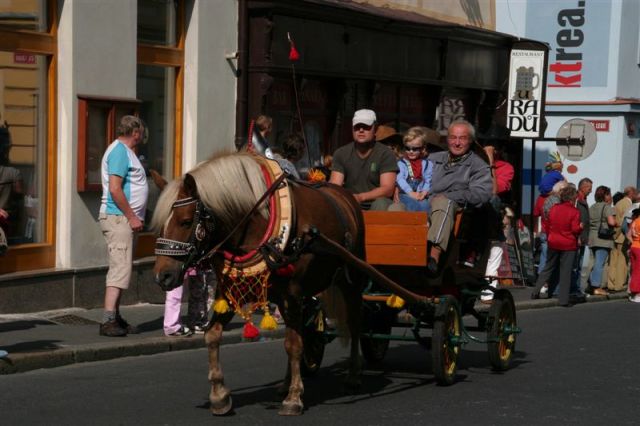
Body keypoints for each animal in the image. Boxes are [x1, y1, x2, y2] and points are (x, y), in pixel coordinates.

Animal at [151, 152, 368, 416]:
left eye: (185, 221)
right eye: (161, 224)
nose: (162, 276)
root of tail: (345, 195)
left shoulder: (292, 294)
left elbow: (294, 345)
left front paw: (294, 398)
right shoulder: (234, 291)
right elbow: (212, 335)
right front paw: (219, 396)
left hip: (351, 280)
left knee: (355, 323)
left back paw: (353, 376)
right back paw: (285, 384)